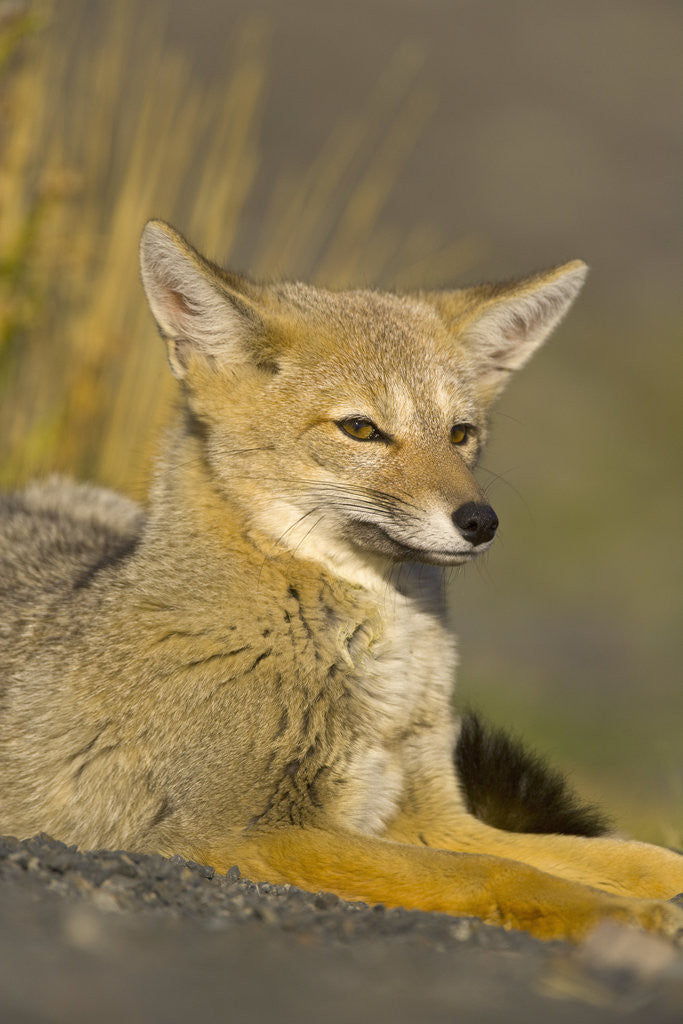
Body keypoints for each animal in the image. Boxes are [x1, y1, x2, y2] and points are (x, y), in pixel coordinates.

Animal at [0, 221, 681, 943]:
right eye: (361, 429)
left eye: (460, 434)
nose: (480, 521)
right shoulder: (241, 834)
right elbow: (494, 875)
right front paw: (627, 917)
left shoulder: (430, 812)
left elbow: (635, 856)